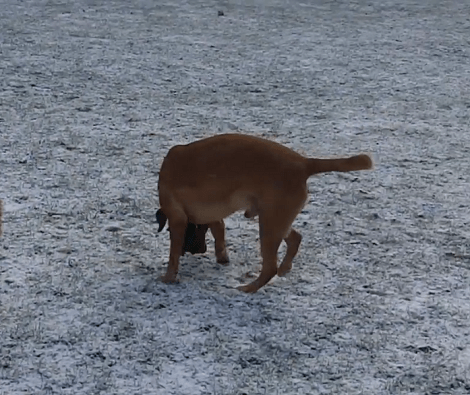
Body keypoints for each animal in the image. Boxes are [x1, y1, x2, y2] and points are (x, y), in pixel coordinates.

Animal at [158, 135, 374, 292]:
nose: (197, 251)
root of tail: (304, 163)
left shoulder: (177, 219)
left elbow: (173, 254)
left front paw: (168, 277)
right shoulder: (214, 216)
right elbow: (219, 232)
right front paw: (221, 257)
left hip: (269, 225)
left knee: (270, 267)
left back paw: (248, 288)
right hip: (275, 220)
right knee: (295, 238)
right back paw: (285, 268)